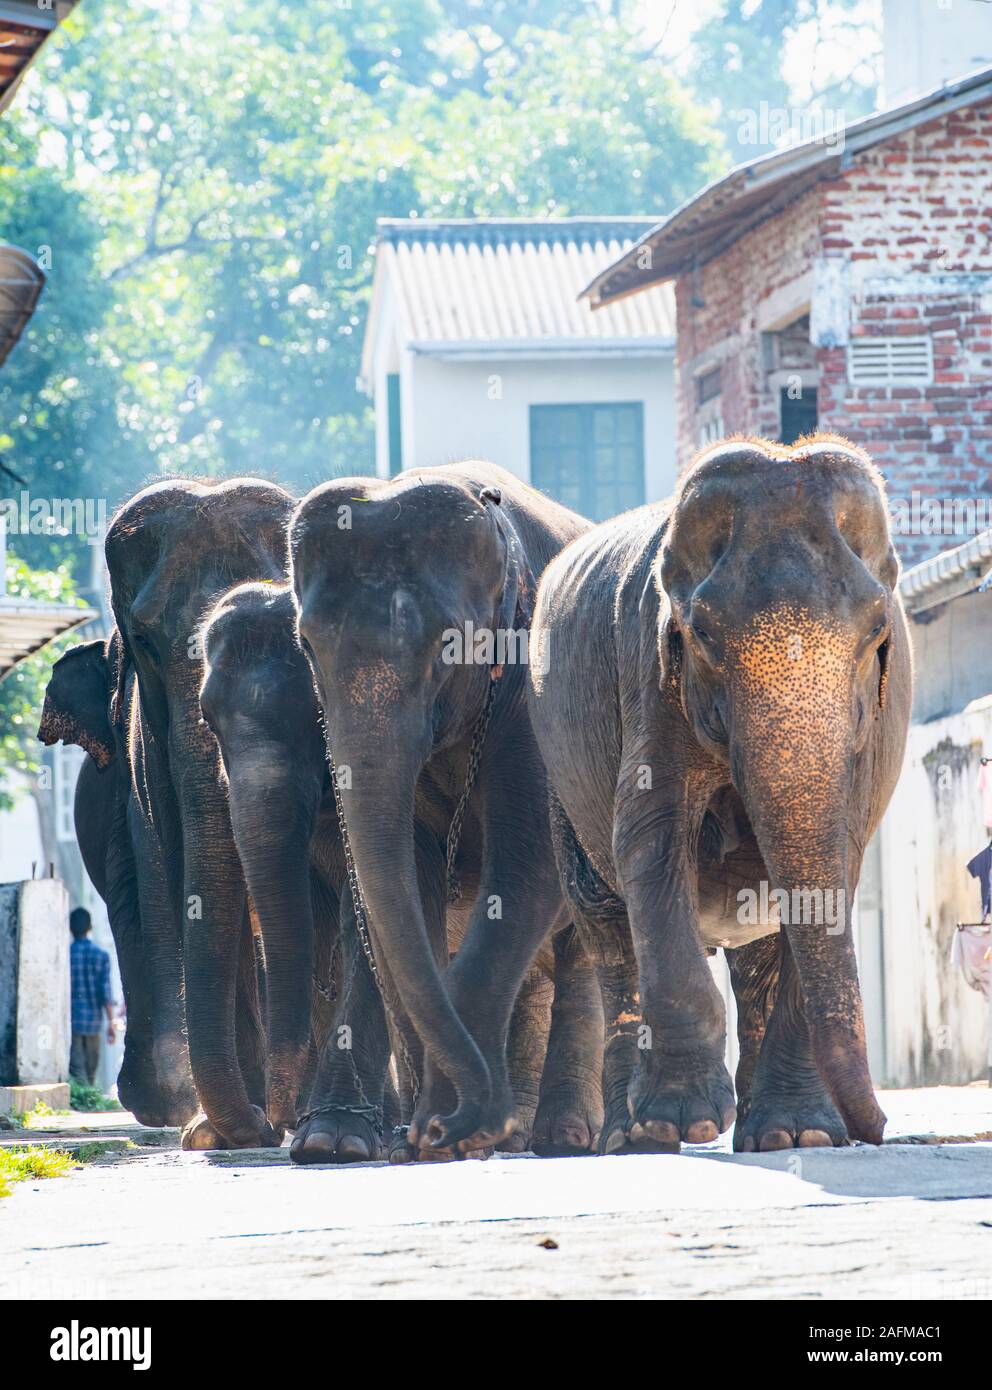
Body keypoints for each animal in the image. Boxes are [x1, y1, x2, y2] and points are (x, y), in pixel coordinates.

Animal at [198, 572, 602, 1162]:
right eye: (208, 719)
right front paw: (344, 1139)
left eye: (316, 719)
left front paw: (331, 1143)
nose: (273, 1123)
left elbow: (363, 930)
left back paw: (562, 1138)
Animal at [290, 461, 605, 1156]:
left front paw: (458, 1129)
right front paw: (427, 1140)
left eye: (449, 647)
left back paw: (564, 1136)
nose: (434, 1130)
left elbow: (528, 866)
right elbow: (407, 878)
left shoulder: (533, 685)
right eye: (307, 645)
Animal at [530, 439, 905, 1156]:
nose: (875, 1130)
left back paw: (776, 1133)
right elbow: (649, 839)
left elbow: (839, 861)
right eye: (701, 635)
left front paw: (801, 1136)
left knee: (755, 952)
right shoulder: (649, 676)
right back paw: (631, 1137)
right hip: (556, 774)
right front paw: (682, 1120)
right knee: (606, 927)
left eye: (877, 633)